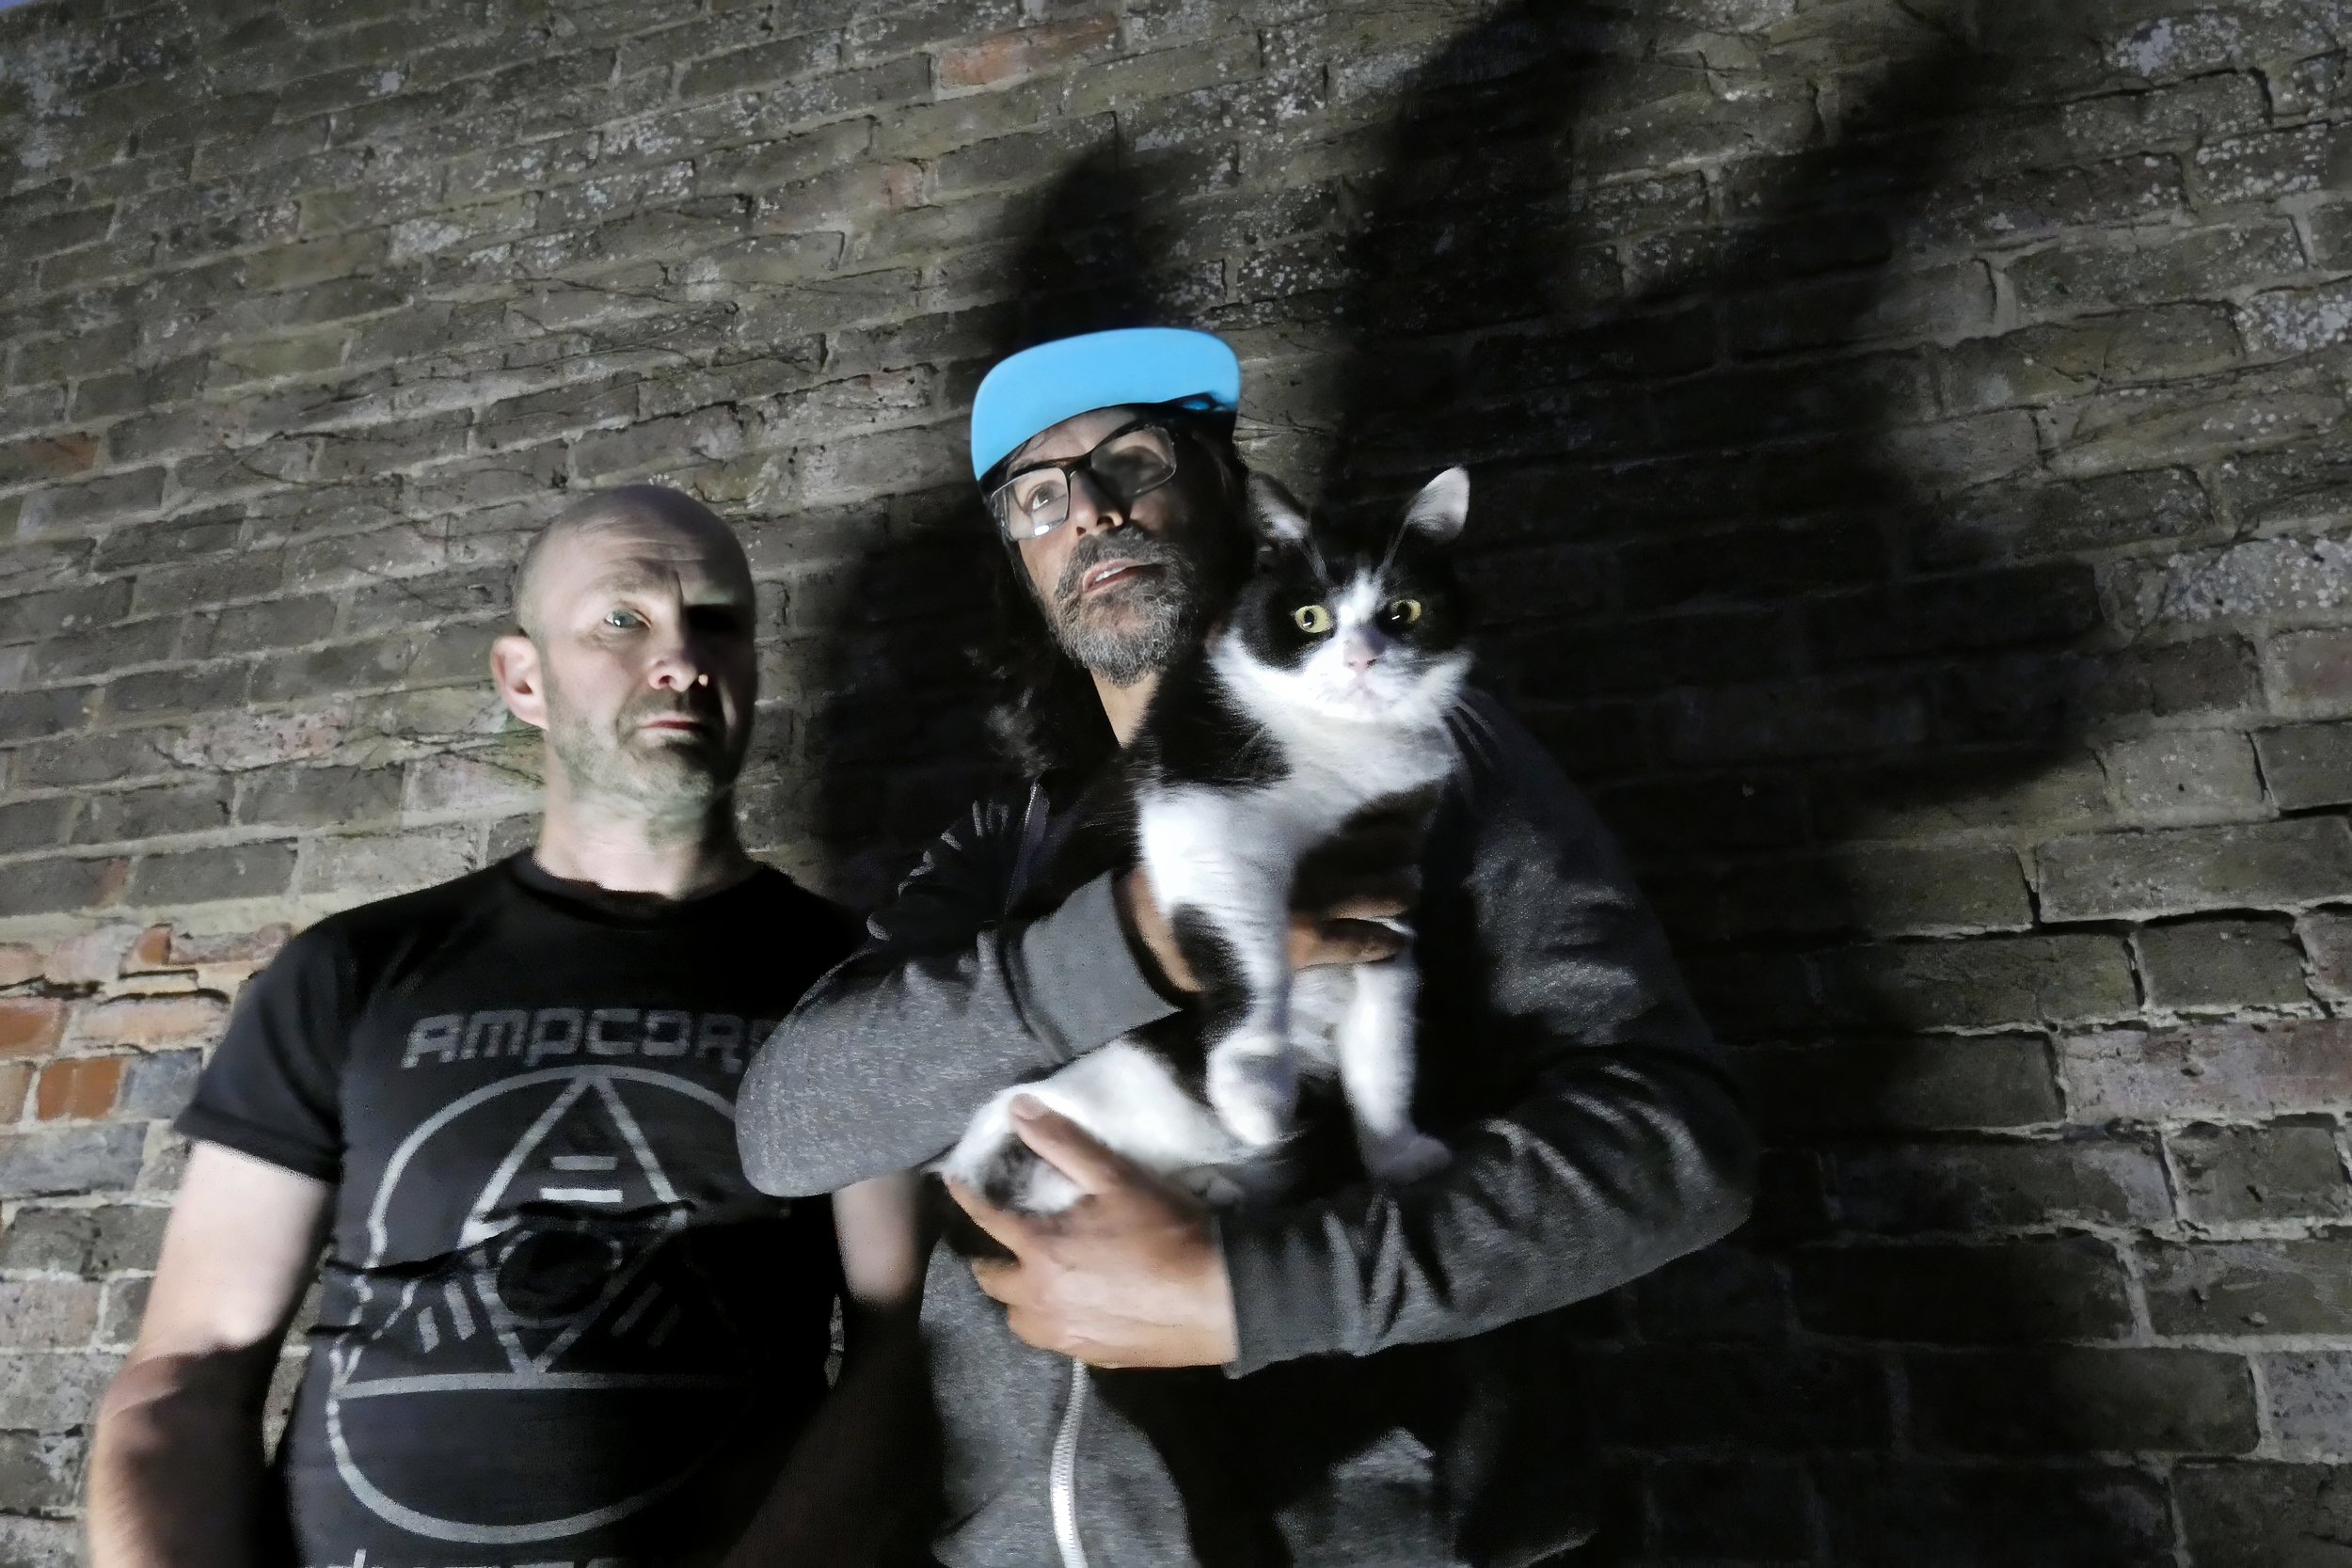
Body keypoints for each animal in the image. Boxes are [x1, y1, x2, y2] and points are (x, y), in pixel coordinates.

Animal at [941, 464, 1477, 1215]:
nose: (1362, 659)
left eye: (1404, 612)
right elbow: (1242, 942)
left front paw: (1397, 1153)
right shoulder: (1198, 809)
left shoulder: (1389, 879)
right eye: (1310, 618)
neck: (1345, 749)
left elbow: (1385, 1044)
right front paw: (1253, 1084)